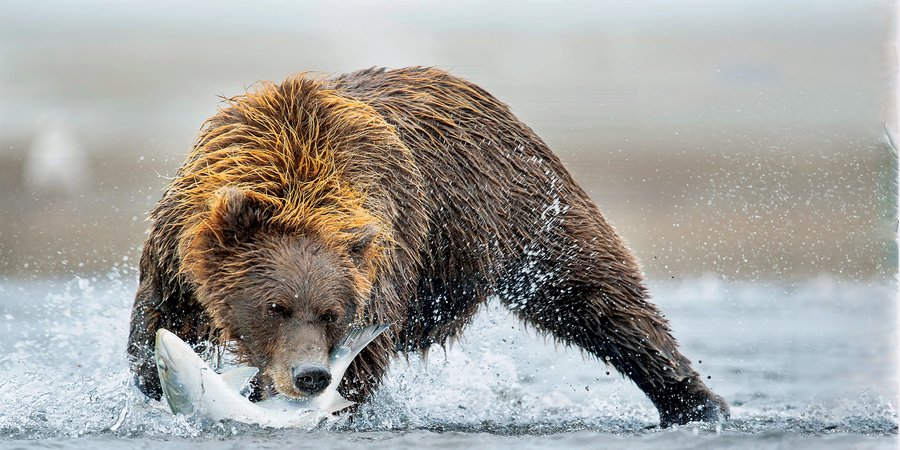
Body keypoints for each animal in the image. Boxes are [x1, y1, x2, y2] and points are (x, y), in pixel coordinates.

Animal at [127, 66, 728, 427]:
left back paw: (696, 402)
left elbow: (365, 360)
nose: (310, 374)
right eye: (276, 306)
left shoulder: (384, 255)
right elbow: (159, 316)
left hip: (527, 211)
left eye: (330, 312)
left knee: (597, 295)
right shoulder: (175, 250)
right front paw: (159, 382)